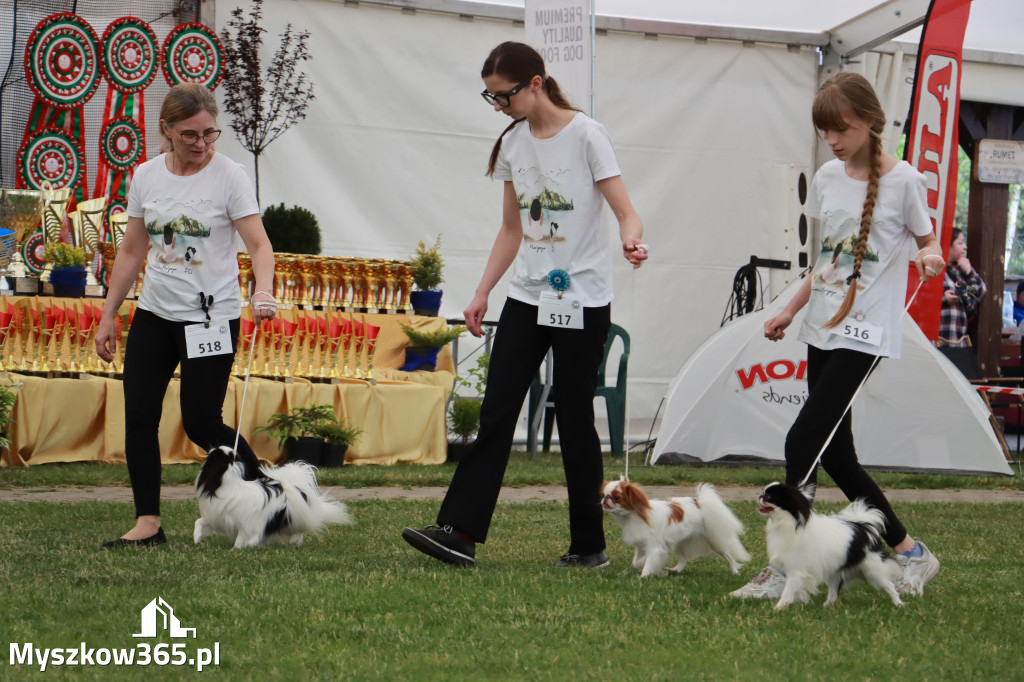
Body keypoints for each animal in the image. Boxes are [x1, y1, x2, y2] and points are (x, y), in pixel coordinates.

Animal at [194, 444, 352, 548]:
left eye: (215, 455)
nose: (211, 449)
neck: (227, 483)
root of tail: (292, 486)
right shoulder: (217, 518)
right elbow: (199, 522)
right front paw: (196, 538)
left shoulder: (247, 524)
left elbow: (242, 538)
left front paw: (238, 549)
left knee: (300, 528)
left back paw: (293, 541)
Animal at [598, 477, 753, 573]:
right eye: (604, 495)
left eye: (616, 497)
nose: (605, 500)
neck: (635, 516)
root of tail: (699, 503)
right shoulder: (641, 546)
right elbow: (636, 562)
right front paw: (645, 565)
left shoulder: (655, 547)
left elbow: (649, 561)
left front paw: (645, 574)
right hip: (679, 542)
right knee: (683, 559)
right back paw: (676, 570)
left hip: (714, 541)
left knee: (728, 555)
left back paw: (734, 570)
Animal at [757, 481, 901, 606]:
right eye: (763, 493)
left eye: (768, 497)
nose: (760, 496)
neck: (788, 523)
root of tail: (864, 528)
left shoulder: (796, 571)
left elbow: (787, 591)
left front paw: (779, 607)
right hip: (834, 572)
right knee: (833, 592)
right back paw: (827, 606)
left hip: (872, 570)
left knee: (890, 585)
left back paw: (898, 604)